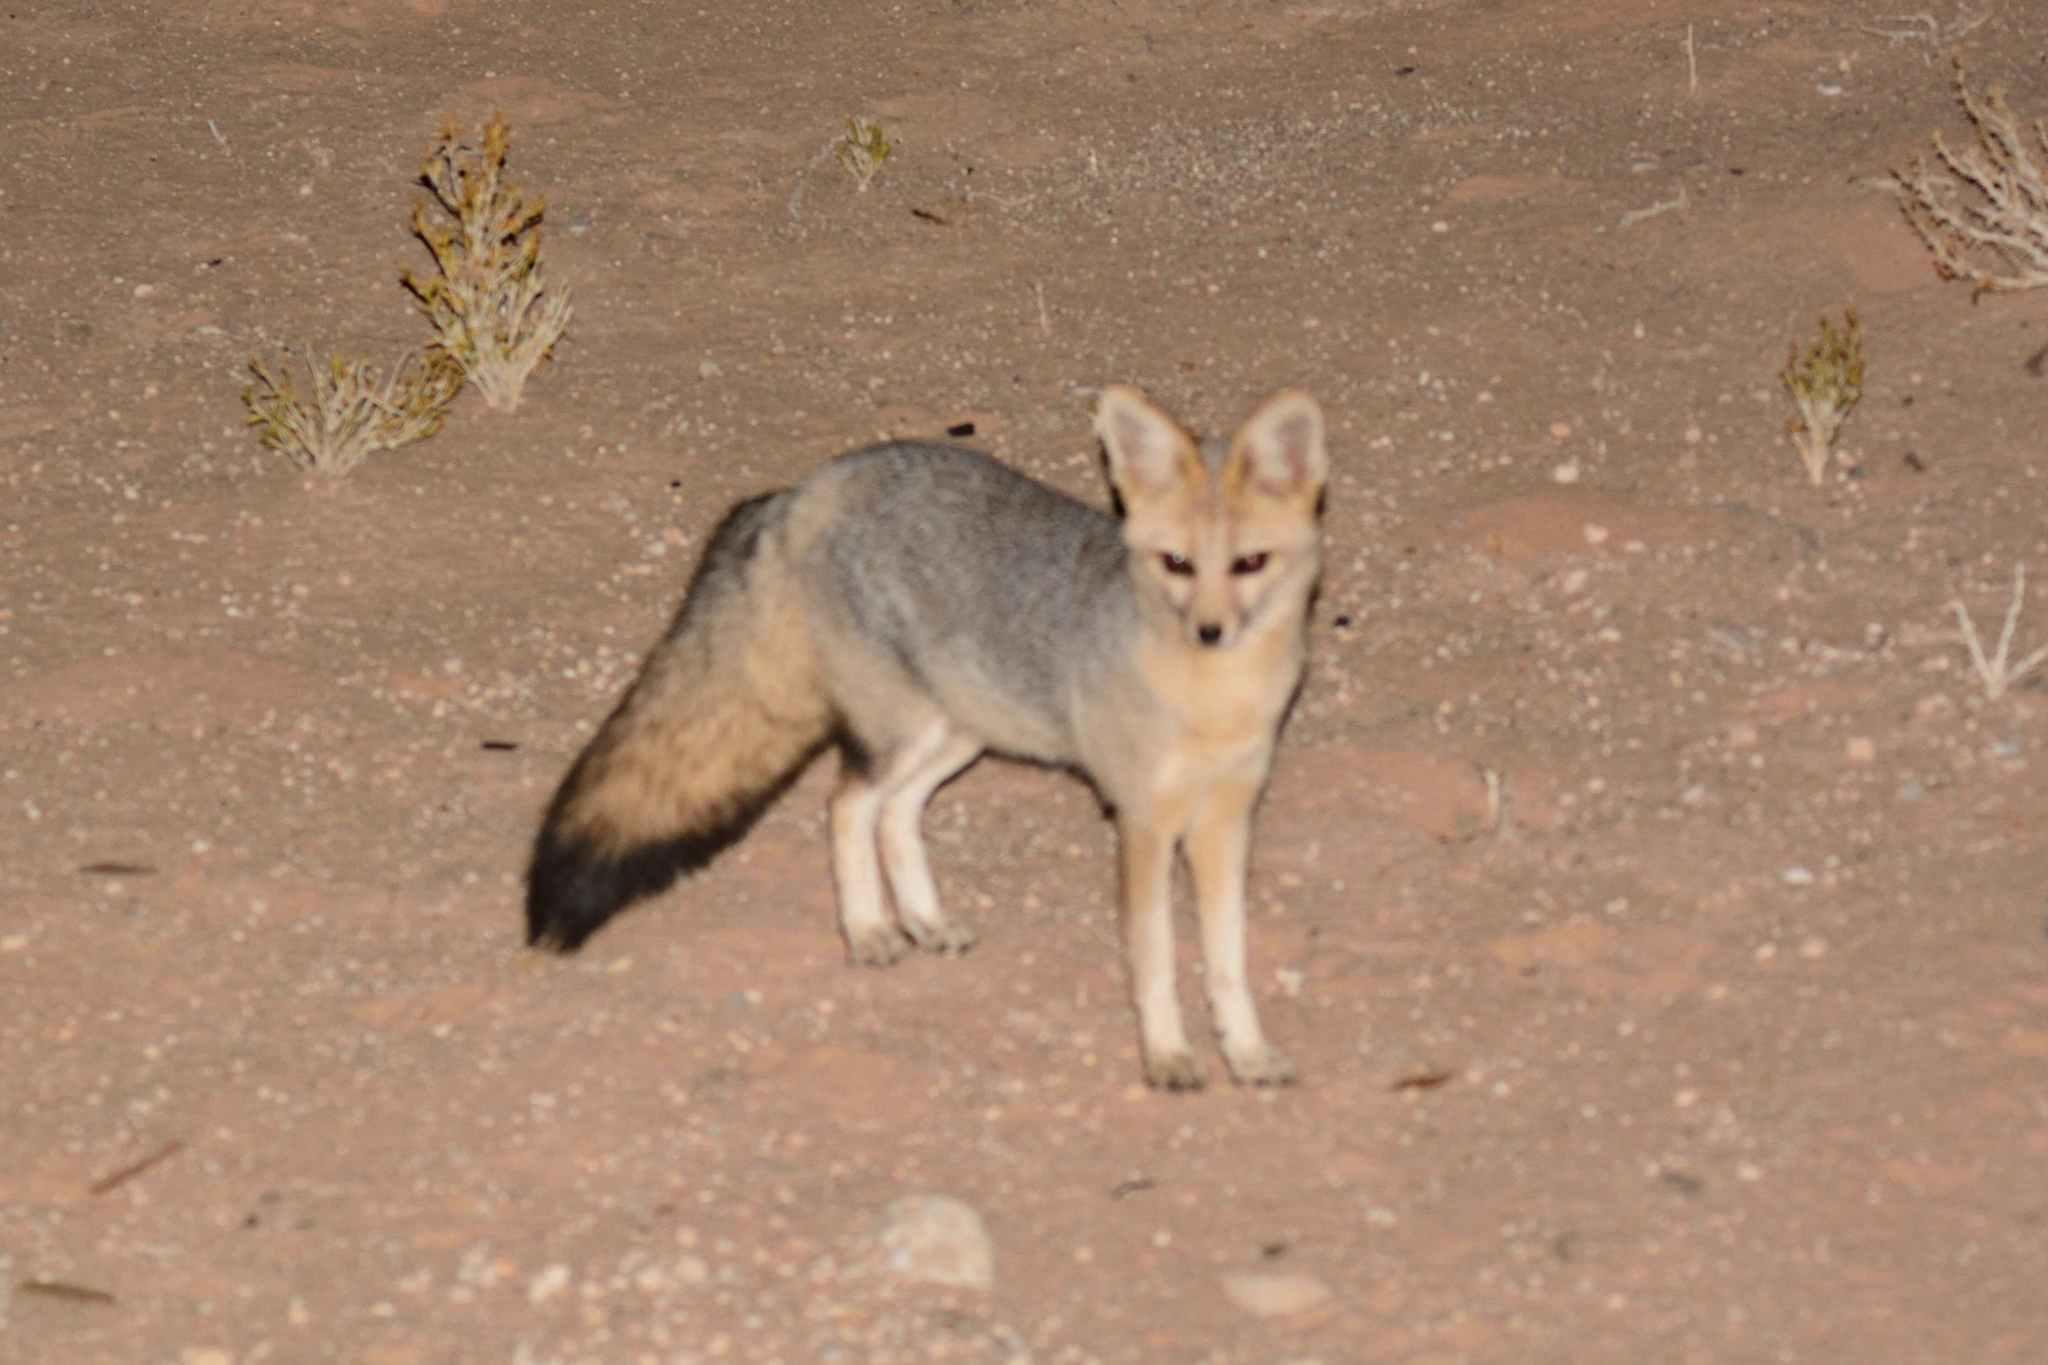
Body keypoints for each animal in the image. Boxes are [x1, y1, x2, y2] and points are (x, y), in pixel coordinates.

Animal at [525, 384, 1329, 1089]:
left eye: (1250, 563)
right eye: (1178, 565)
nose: (1211, 632)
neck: (1214, 703)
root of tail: (806, 486)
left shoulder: (1227, 820)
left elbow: (1228, 958)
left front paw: (1247, 1052)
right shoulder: (1142, 823)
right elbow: (1156, 957)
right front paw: (1167, 1056)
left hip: (955, 732)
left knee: (896, 812)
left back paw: (923, 919)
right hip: (905, 732)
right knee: (848, 805)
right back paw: (868, 930)